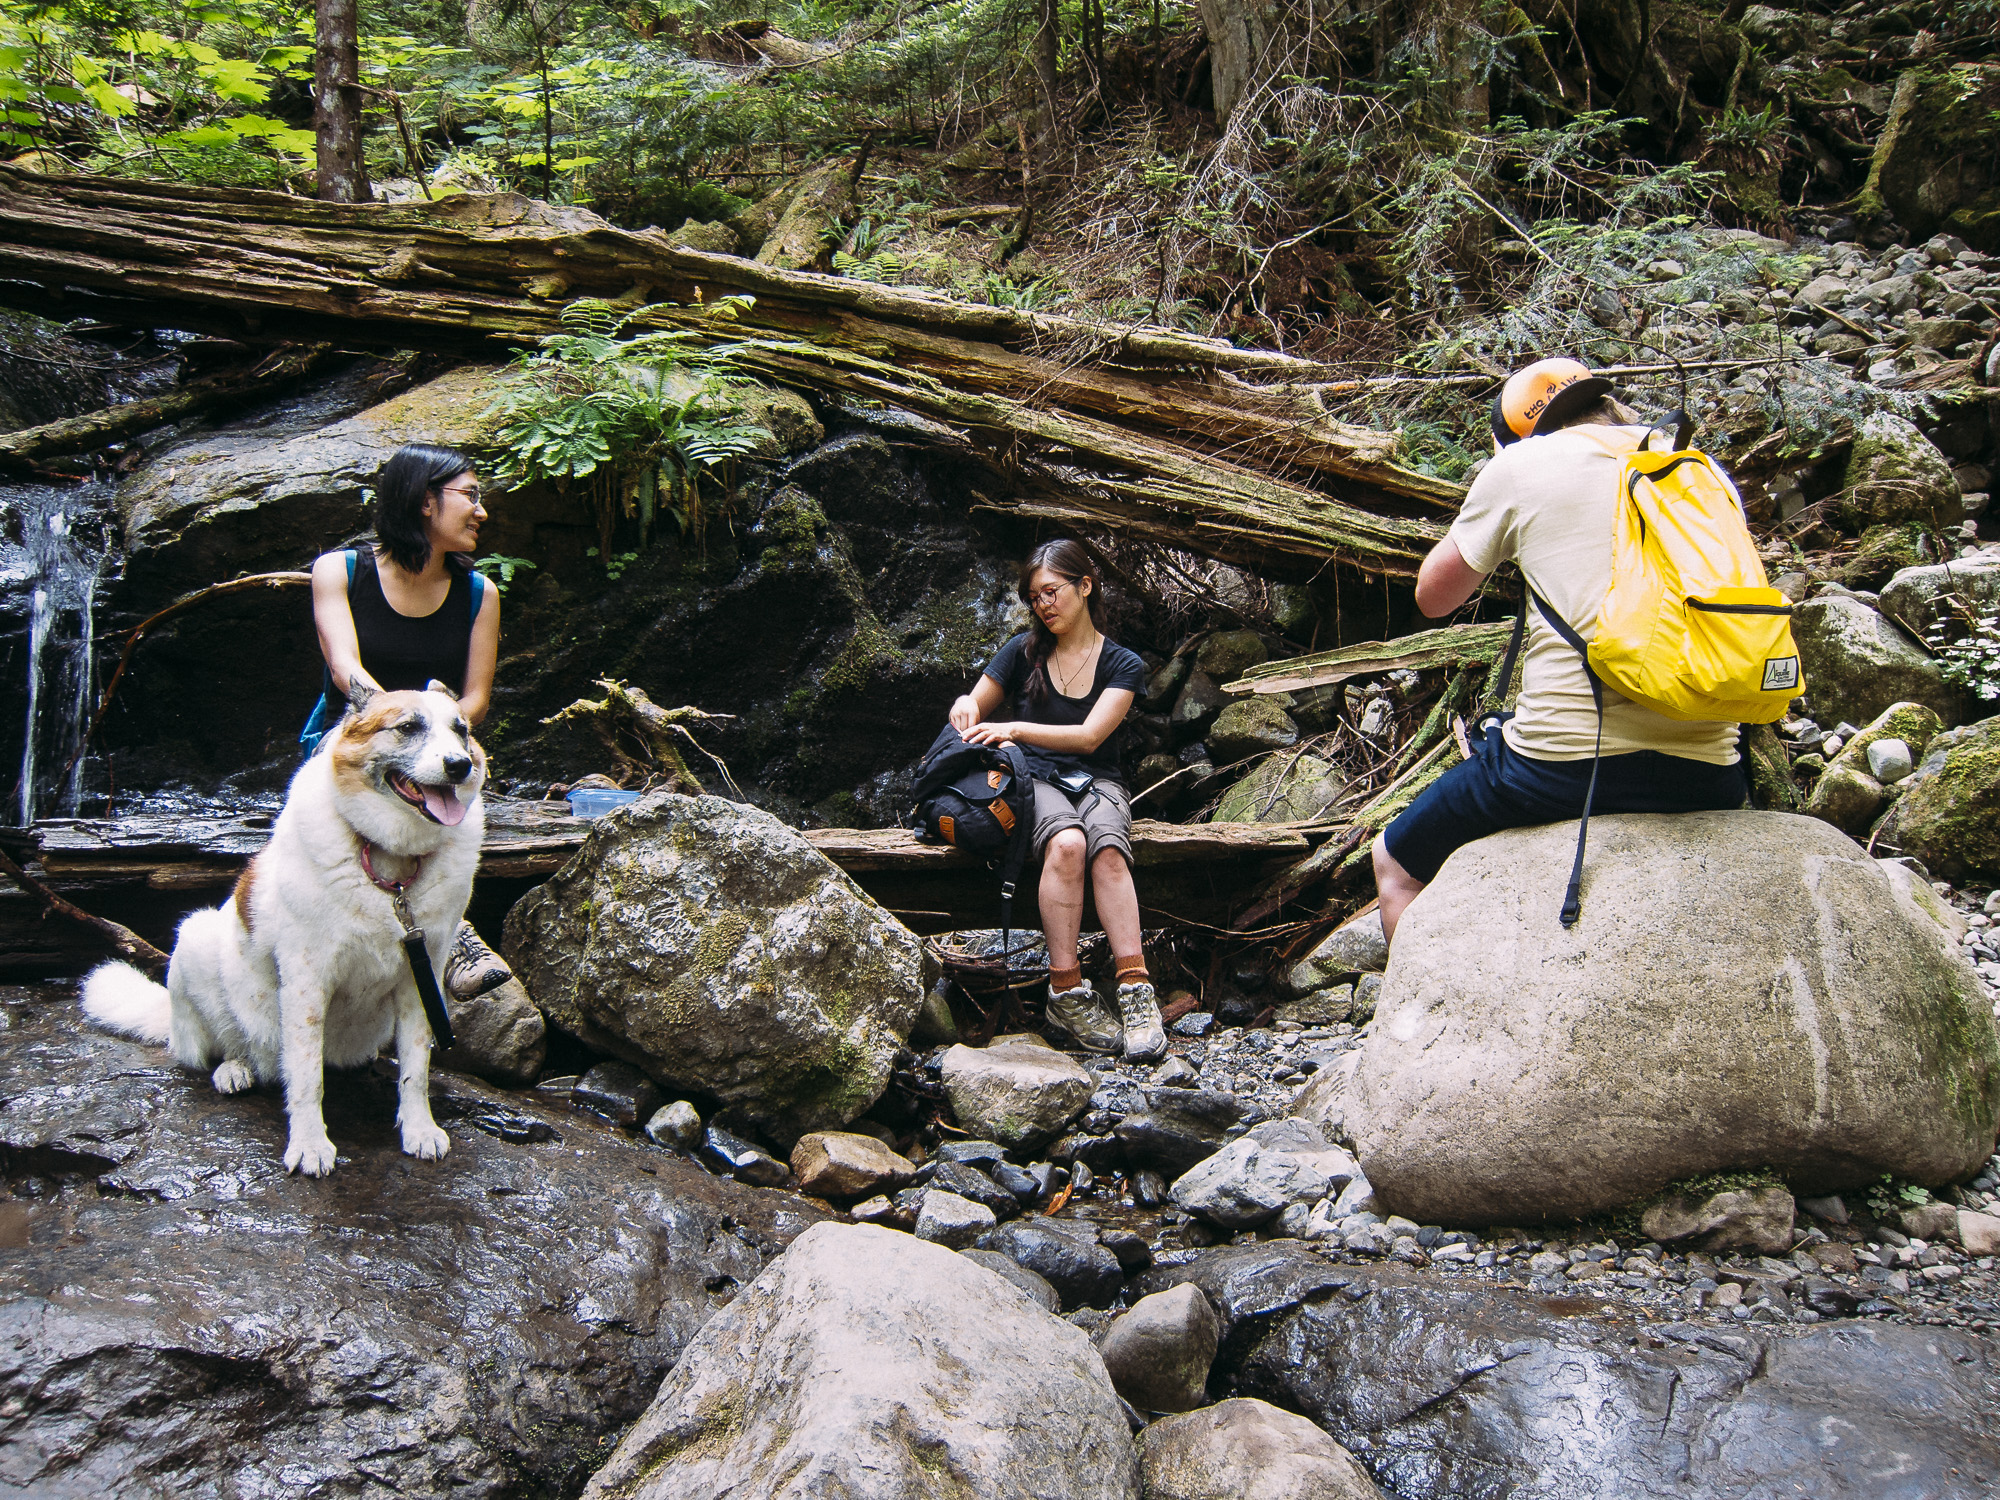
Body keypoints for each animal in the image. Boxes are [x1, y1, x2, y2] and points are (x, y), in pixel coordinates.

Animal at [82, 681, 487, 1176]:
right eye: (408, 727)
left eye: (461, 731)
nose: (460, 765)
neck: (390, 869)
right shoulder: (306, 983)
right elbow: (307, 1076)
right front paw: (310, 1144)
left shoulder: (419, 981)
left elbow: (416, 1070)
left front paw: (418, 1129)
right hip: (196, 943)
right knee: (221, 1044)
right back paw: (234, 1068)